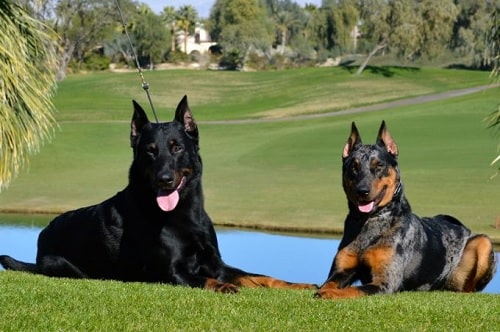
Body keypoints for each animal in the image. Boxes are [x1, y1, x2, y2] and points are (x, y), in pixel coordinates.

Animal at [0, 96, 312, 294]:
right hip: (65, 266)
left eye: (176, 147)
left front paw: (299, 285)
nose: (164, 180)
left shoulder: (217, 264)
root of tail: (43, 234)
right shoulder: (172, 272)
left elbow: (262, 277)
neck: (185, 215)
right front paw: (224, 286)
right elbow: (207, 280)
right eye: (150, 151)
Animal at [316, 121, 496, 298]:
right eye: (354, 166)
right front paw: (322, 289)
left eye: (379, 165)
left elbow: (353, 290)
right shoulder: (341, 270)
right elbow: (328, 283)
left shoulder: (385, 282)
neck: (370, 221)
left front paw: (328, 293)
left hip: (484, 243)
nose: (362, 190)